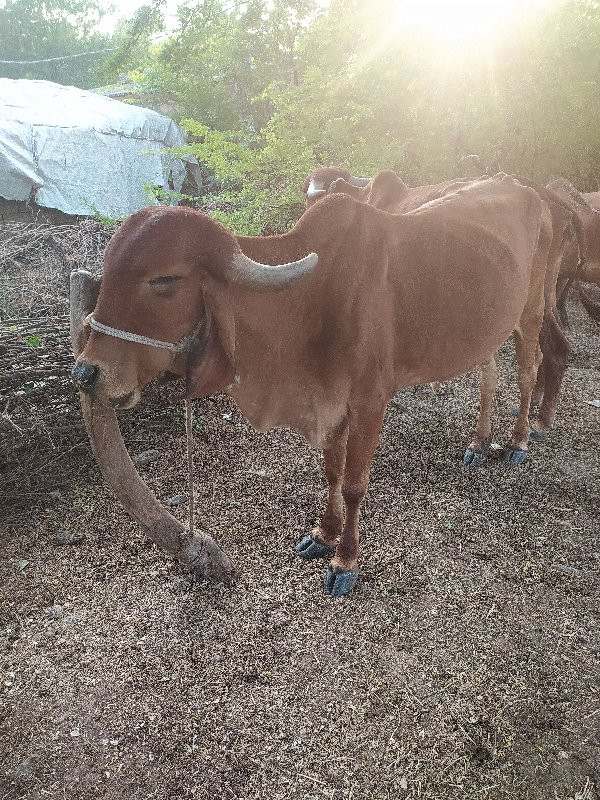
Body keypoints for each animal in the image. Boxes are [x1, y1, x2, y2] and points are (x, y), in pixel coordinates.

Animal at [75, 178, 552, 596]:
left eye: (165, 280)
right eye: (108, 271)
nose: (87, 372)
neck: (313, 297)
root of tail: (521, 185)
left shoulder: (370, 401)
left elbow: (354, 483)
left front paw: (345, 562)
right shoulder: (328, 400)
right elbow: (331, 472)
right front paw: (323, 534)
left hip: (531, 310)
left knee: (530, 370)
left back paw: (518, 441)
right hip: (485, 330)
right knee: (489, 375)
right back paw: (479, 442)